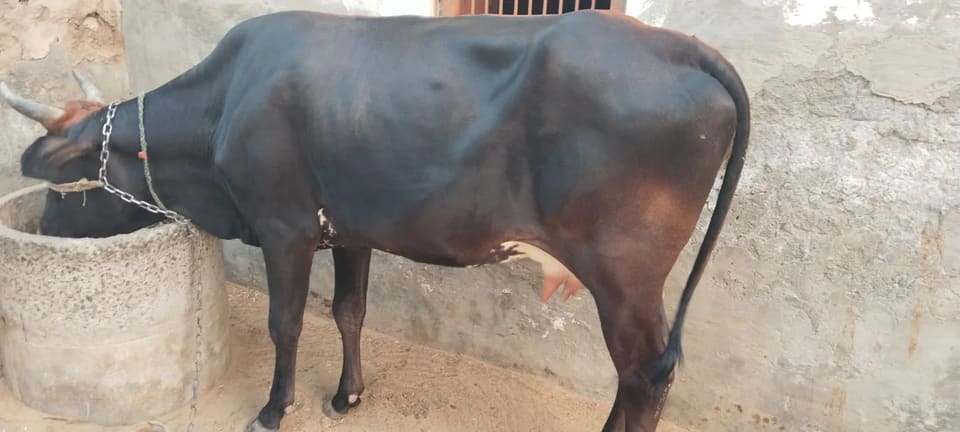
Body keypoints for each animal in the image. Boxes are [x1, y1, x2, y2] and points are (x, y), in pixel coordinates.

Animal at [0, 9, 749, 432]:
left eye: (65, 185)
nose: (47, 227)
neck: (223, 108)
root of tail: (675, 46)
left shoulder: (284, 227)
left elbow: (287, 322)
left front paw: (274, 410)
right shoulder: (349, 230)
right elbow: (348, 311)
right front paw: (346, 396)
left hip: (625, 274)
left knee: (646, 374)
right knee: (634, 373)